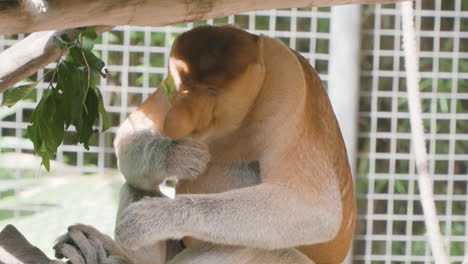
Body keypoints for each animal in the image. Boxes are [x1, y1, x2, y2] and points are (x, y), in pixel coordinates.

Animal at [54, 25, 354, 264]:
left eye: (211, 91)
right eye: (181, 85)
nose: (176, 121)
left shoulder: (289, 83)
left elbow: (316, 209)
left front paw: (151, 218)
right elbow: (131, 133)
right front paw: (177, 156)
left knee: (254, 246)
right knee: (137, 183)